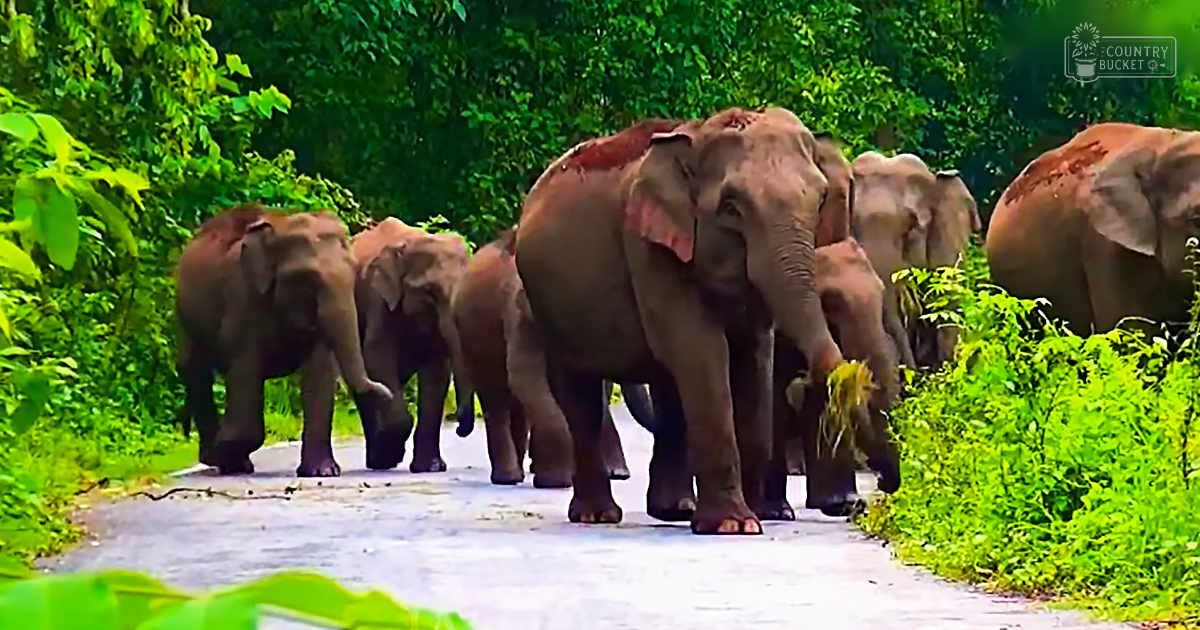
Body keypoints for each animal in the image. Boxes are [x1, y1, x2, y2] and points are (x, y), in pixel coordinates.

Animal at [174, 203, 394, 477]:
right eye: (306, 277)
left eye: (354, 271)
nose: (387, 394)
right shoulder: (241, 297)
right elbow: (244, 368)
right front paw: (226, 453)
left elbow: (320, 372)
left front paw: (322, 472)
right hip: (187, 319)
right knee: (195, 371)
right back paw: (217, 458)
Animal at [344, 217, 475, 473]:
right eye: (429, 292)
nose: (457, 426)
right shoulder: (379, 300)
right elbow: (377, 357)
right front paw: (392, 454)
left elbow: (437, 372)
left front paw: (430, 467)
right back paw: (379, 461)